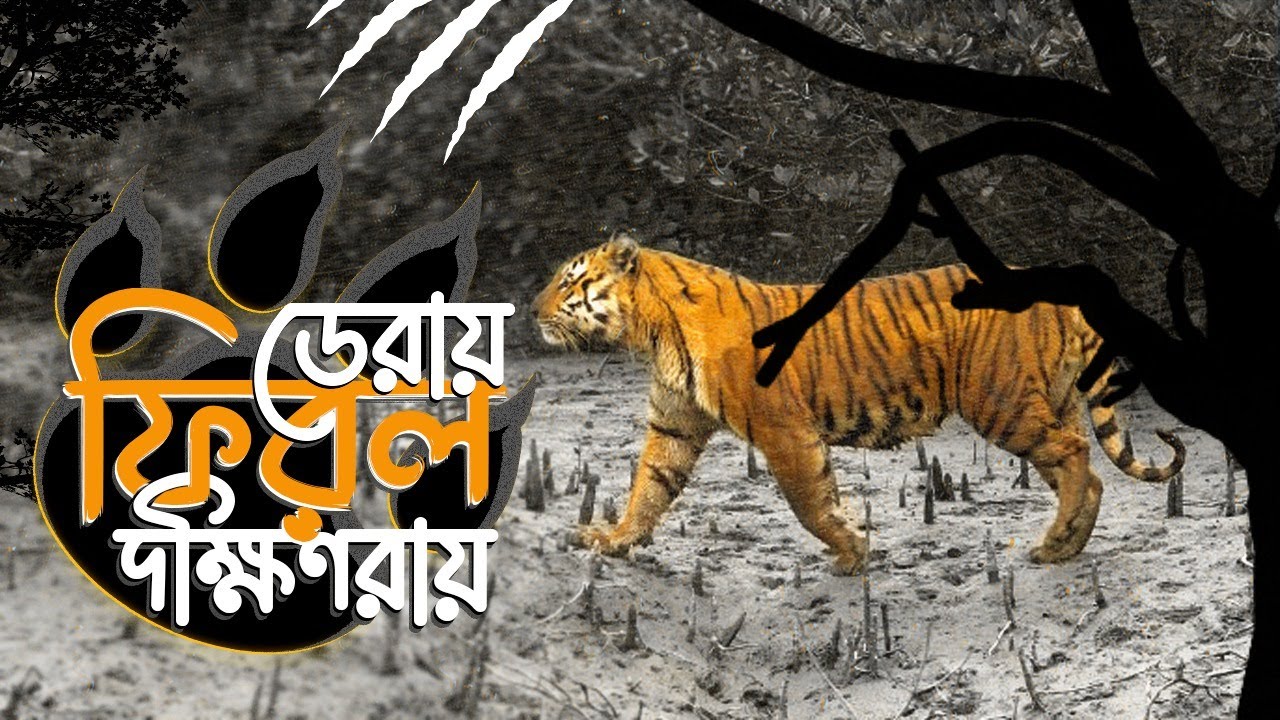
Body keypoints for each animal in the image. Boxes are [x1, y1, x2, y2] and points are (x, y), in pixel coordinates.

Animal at [533, 235, 1185, 574]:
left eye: (570, 281)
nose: (531, 311)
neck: (652, 334)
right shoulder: (675, 424)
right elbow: (649, 486)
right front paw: (613, 540)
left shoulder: (784, 430)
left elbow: (809, 502)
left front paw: (851, 552)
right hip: (1046, 401)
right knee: (1087, 472)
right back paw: (1068, 545)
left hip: (1000, 403)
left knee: (1076, 457)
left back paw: (1053, 545)